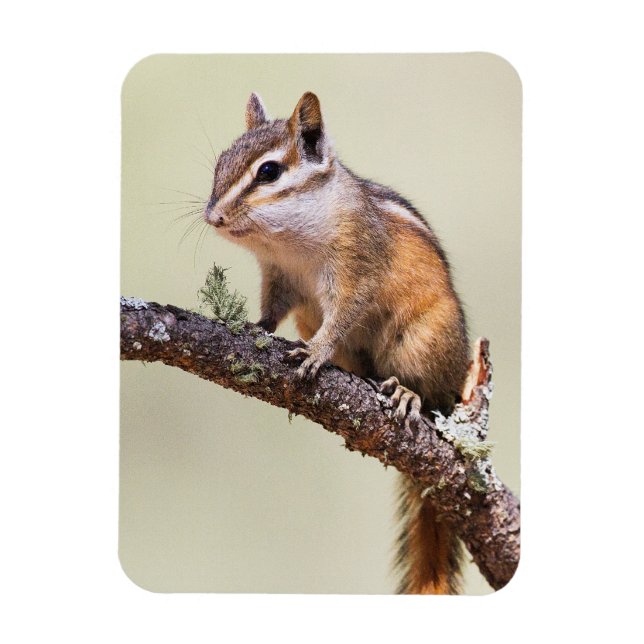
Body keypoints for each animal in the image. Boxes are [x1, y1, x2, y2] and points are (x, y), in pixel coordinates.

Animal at [204, 92, 470, 594]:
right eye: (220, 162)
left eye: (268, 172)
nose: (213, 217)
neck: (289, 242)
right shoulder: (280, 277)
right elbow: (272, 308)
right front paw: (256, 328)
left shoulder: (355, 269)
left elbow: (344, 315)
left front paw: (315, 354)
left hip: (425, 341)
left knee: (432, 399)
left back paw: (407, 394)